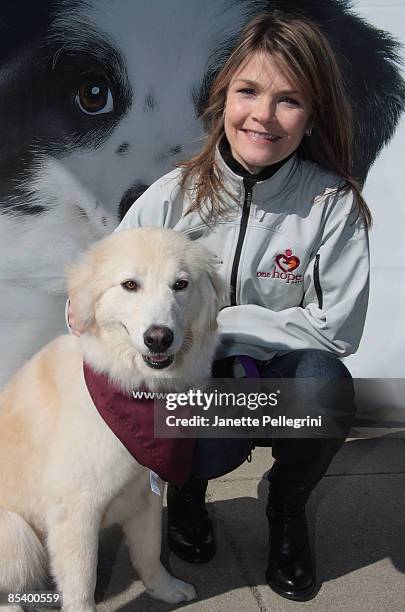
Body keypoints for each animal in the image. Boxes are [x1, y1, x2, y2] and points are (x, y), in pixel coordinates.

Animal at [0, 230, 221, 612]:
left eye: (180, 284)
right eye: (130, 285)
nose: (158, 337)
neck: (133, 389)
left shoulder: (147, 492)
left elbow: (149, 553)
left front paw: (165, 589)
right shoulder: (76, 512)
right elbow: (81, 584)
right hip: (15, 533)